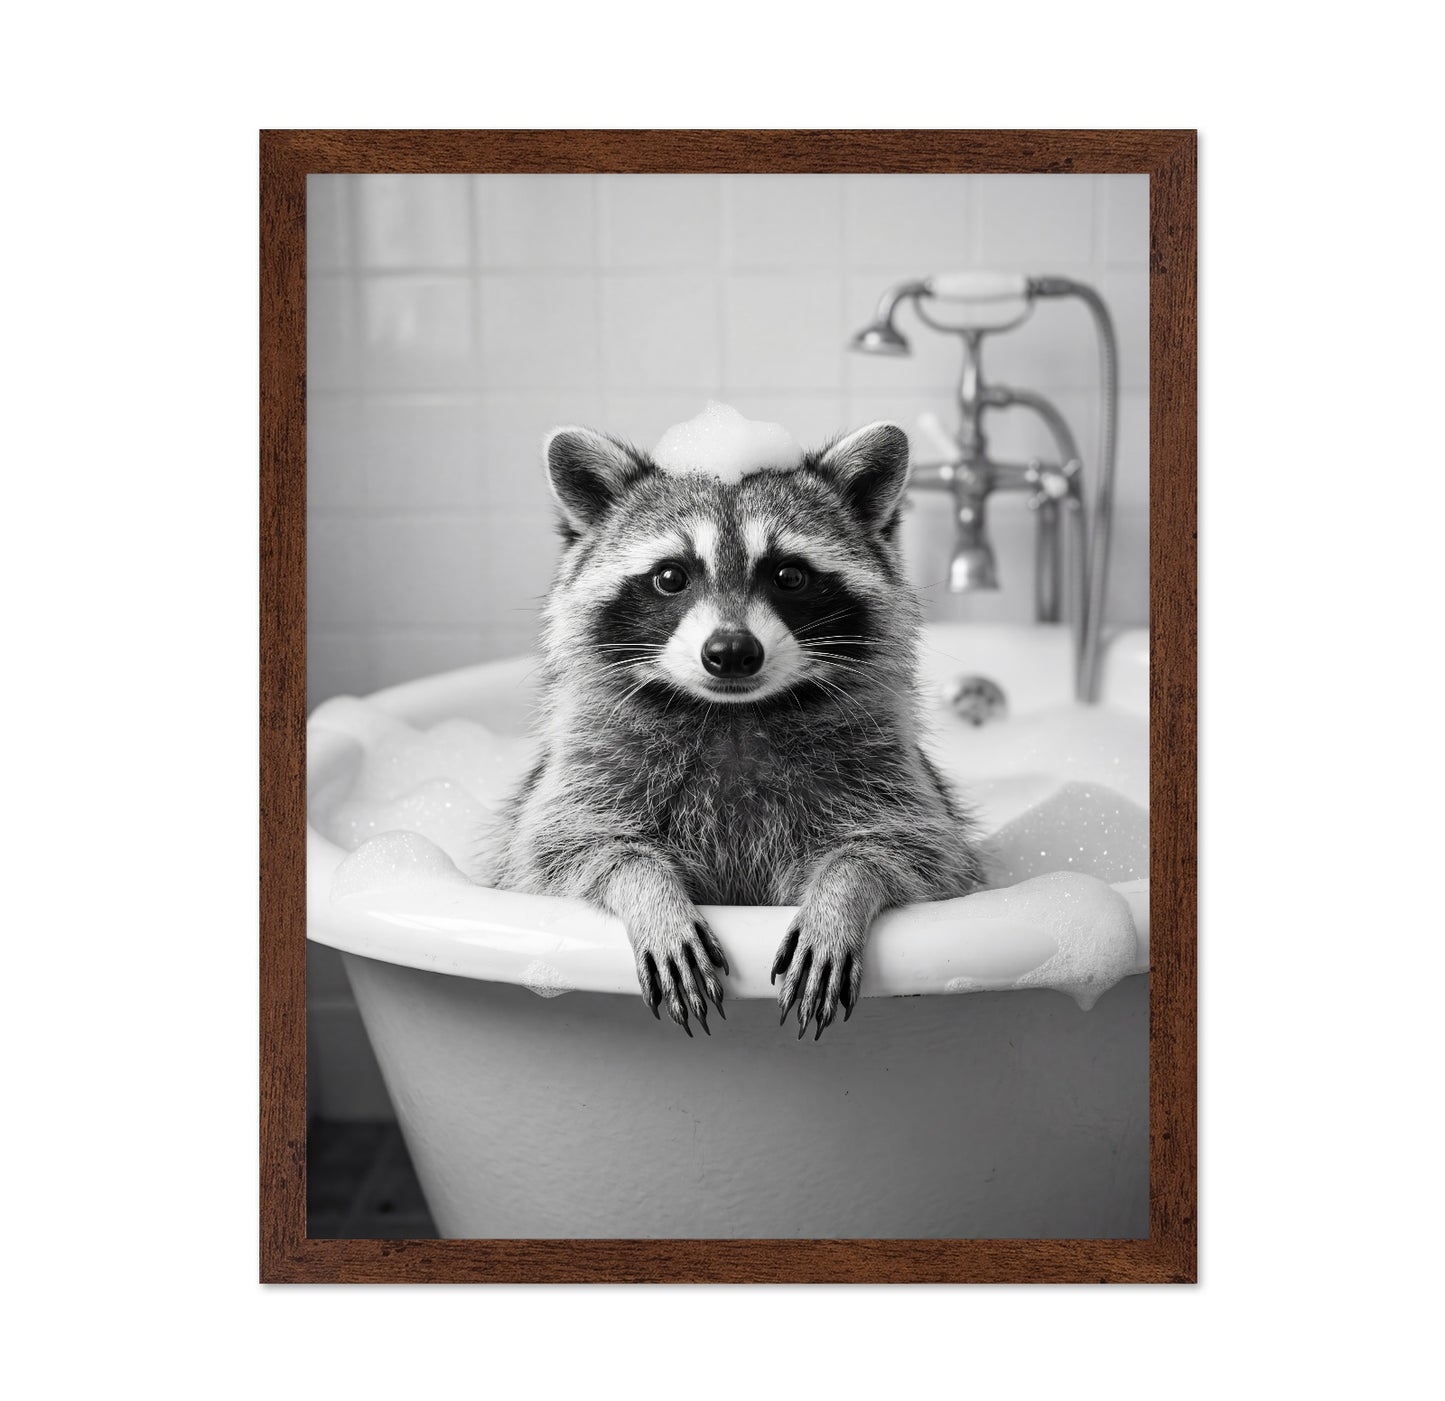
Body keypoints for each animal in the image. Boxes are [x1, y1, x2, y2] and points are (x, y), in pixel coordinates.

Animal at [489, 419, 986, 1039]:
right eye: (670, 576)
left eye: (789, 575)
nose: (730, 652)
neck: (734, 716)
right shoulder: (588, 765)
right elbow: (560, 849)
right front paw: (649, 891)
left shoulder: (885, 765)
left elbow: (920, 853)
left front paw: (842, 891)